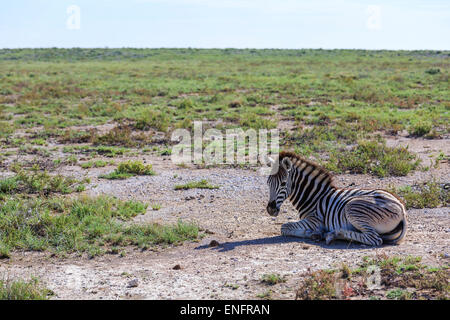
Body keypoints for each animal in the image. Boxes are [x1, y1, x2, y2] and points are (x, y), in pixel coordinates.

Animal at [268, 151, 408, 246]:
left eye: (283, 183)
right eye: (268, 183)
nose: (270, 209)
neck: (313, 197)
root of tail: (402, 209)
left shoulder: (314, 221)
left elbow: (284, 227)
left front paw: (313, 233)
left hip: (353, 208)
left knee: (374, 239)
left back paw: (333, 234)